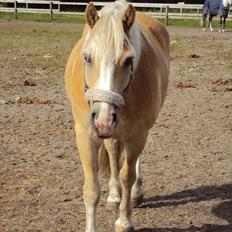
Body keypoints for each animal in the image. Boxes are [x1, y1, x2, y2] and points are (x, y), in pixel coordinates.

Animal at [64, 0, 169, 232]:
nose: (103, 119)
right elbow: (91, 189)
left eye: (129, 60)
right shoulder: (85, 135)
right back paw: (113, 196)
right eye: (87, 57)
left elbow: (127, 176)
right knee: (112, 152)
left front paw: (124, 221)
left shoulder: (137, 135)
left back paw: (136, 194)